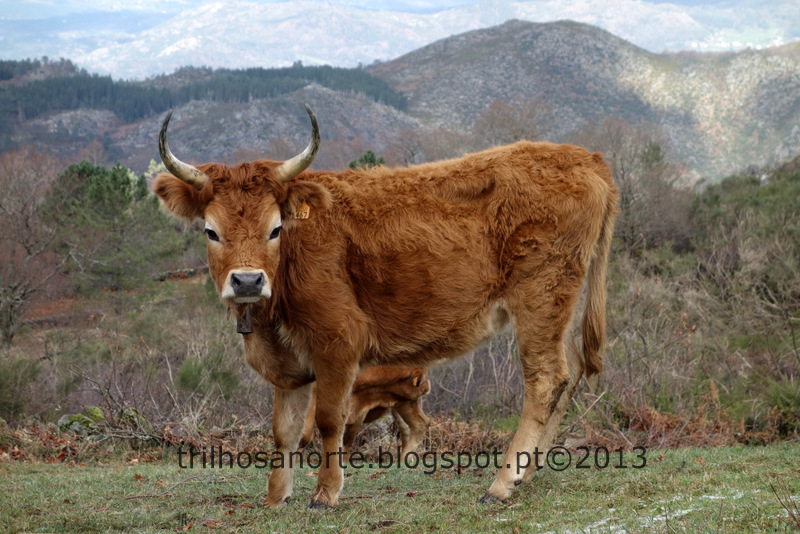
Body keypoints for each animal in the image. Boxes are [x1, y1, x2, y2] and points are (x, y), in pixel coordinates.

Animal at [298, 366, 431, 459]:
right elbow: (304, 436)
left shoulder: (361, 411)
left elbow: (348, 439)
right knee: (411, 427)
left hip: (403, 405)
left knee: (418, 425)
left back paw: (405, 459)